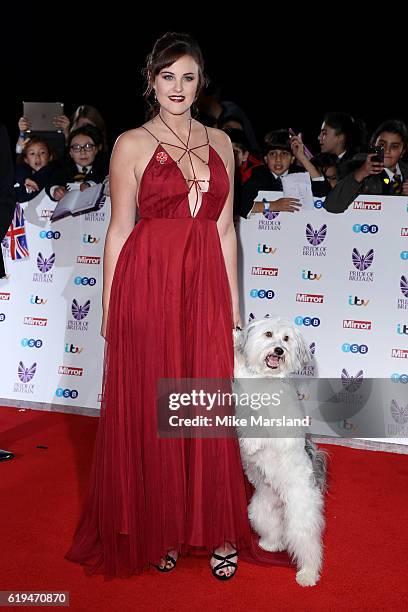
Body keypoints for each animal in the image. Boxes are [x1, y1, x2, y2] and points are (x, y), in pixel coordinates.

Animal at [234, 318, 326, 584]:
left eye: (286, 339)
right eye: (268, 334)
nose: (279, 351)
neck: (266, 380)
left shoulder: (276, 421)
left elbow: (258, 421)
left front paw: (251, 443)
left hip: (300, 516)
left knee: (309, 546)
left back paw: (307, 574)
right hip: (259, 512)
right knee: (276, 532)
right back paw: (270, 545)